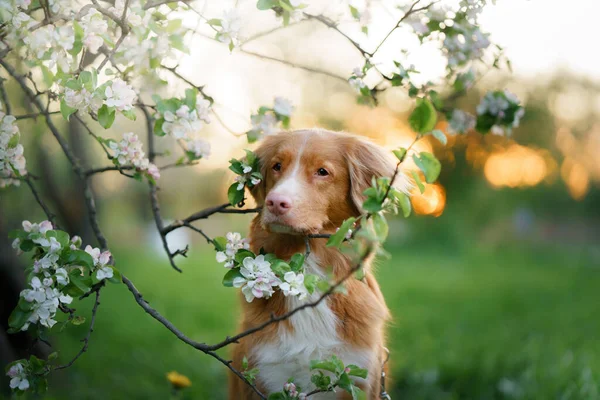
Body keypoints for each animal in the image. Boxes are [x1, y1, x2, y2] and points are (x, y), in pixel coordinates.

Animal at [227, 130, 410, 398]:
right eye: (277, 166)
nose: (275, 202)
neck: (308, 270)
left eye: (322, 171)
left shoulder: (359, 377)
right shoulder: (263, 372)